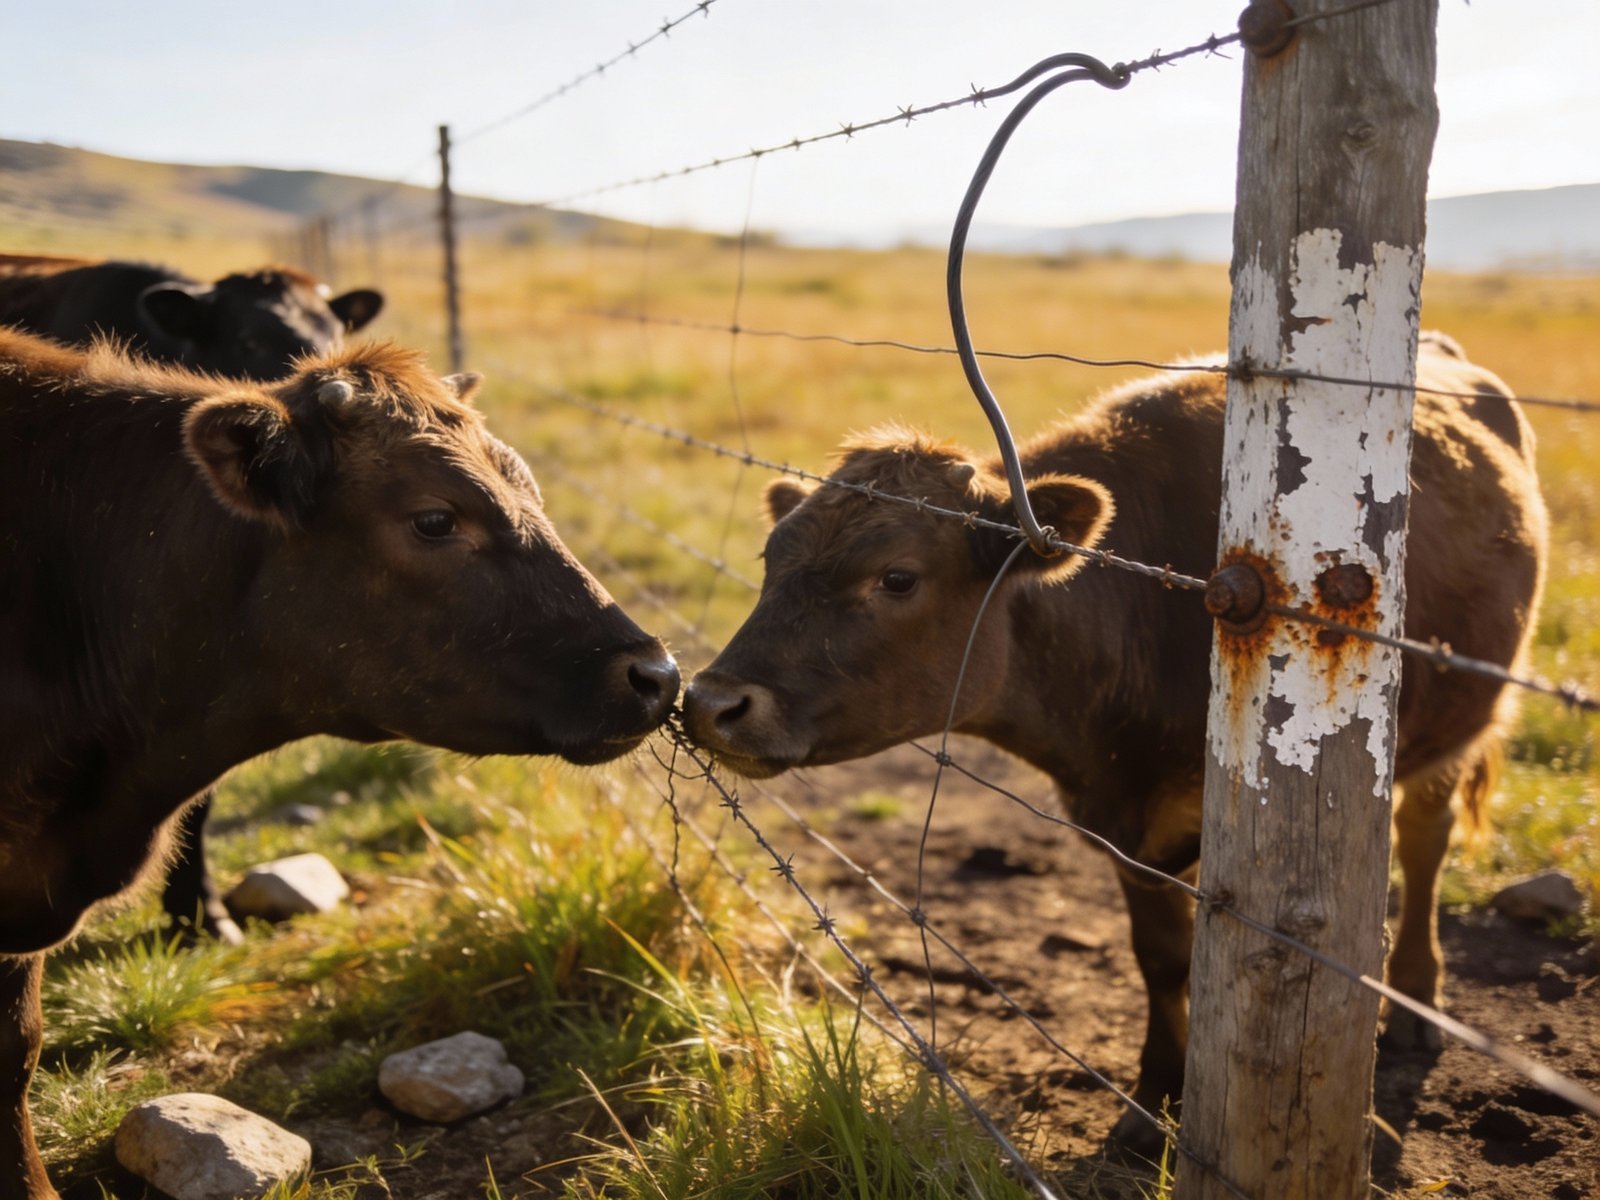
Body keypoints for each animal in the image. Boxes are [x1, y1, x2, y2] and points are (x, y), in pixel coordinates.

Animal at [681, 334, 1547, 1152]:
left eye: (896, 577)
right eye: (769, 558)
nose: (709, 701)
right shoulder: (1125, 825)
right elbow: (1160, 957)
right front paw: (1152, 1097)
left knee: (1425, 842)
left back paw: (1418, 998)